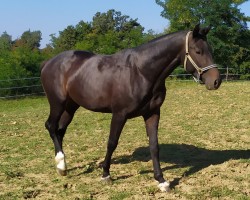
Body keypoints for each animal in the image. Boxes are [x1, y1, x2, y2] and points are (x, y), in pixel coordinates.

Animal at [40, 24, 221, 191]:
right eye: (198, 51)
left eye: (210, 49)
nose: (216, 81)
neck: (141, 72)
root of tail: (48, 62)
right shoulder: (119, 114)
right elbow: (112, 143)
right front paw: (106, 174)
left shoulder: (152, 113)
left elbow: (154, 146)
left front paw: (161, 180)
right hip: (57, 103)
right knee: (51, 126)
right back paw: (61, 164)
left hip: (71, 106)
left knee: (60, 130)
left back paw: (62, 167)